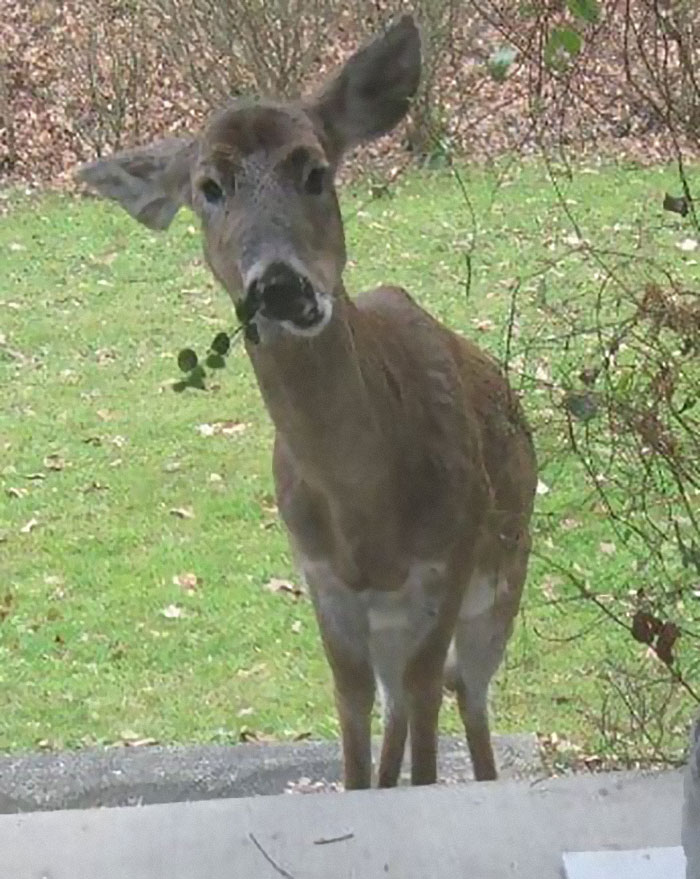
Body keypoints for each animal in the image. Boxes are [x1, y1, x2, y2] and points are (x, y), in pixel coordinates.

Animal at [76, 15, 537, 790]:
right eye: (208, 187)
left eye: (316, 171)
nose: (280, 286)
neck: (367, 512)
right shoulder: (323, 582)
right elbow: (352, 717)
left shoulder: (447, 561)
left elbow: (425, 714)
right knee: (403, 702)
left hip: (505, 573)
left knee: (464, 693)